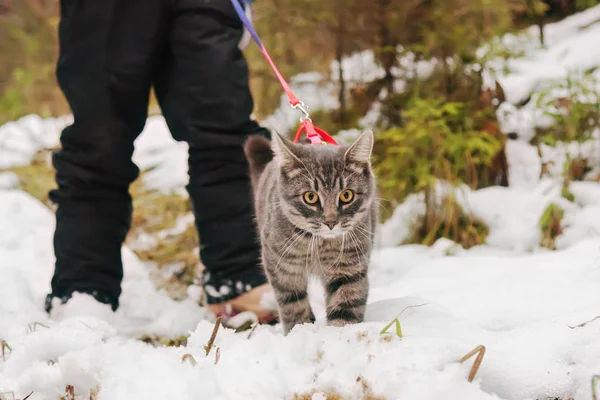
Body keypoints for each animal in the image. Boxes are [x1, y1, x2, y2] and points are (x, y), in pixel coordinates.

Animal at [243, 130, 376, 332]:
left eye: (347, 195)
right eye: (310, 197)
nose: (331, 222)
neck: (318, 244)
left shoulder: (349, 267)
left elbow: (346, 306)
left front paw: (341, 334)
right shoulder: (282, 268)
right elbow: (293, 305)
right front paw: (299, 331)